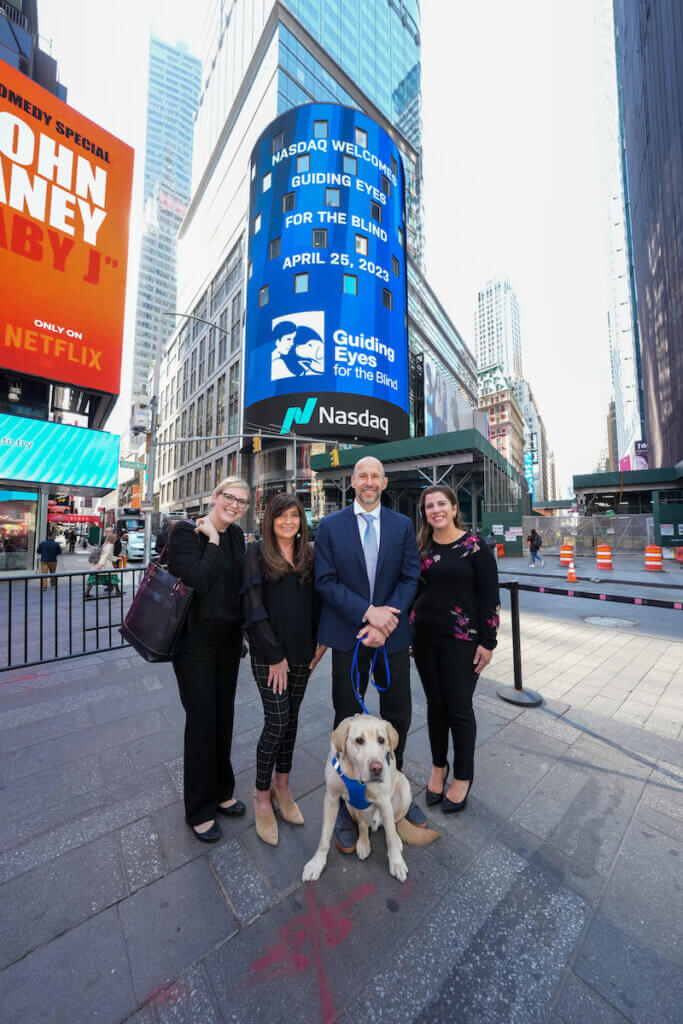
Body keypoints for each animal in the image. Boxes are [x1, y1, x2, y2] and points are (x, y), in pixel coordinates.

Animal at [303, 716, 438, 884]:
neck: (355, 775)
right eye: (359, 740)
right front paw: (316, 864)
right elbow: (324, 838)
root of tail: (376, 823)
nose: (377, 768)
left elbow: (390, 839)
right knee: (363, 825)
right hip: (351, 806)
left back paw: (397, 838)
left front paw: (397, 863)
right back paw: (363, 844)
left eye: (381, 740)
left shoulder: (384, 801)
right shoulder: (331, 798)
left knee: (394, 824)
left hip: (404, 787)